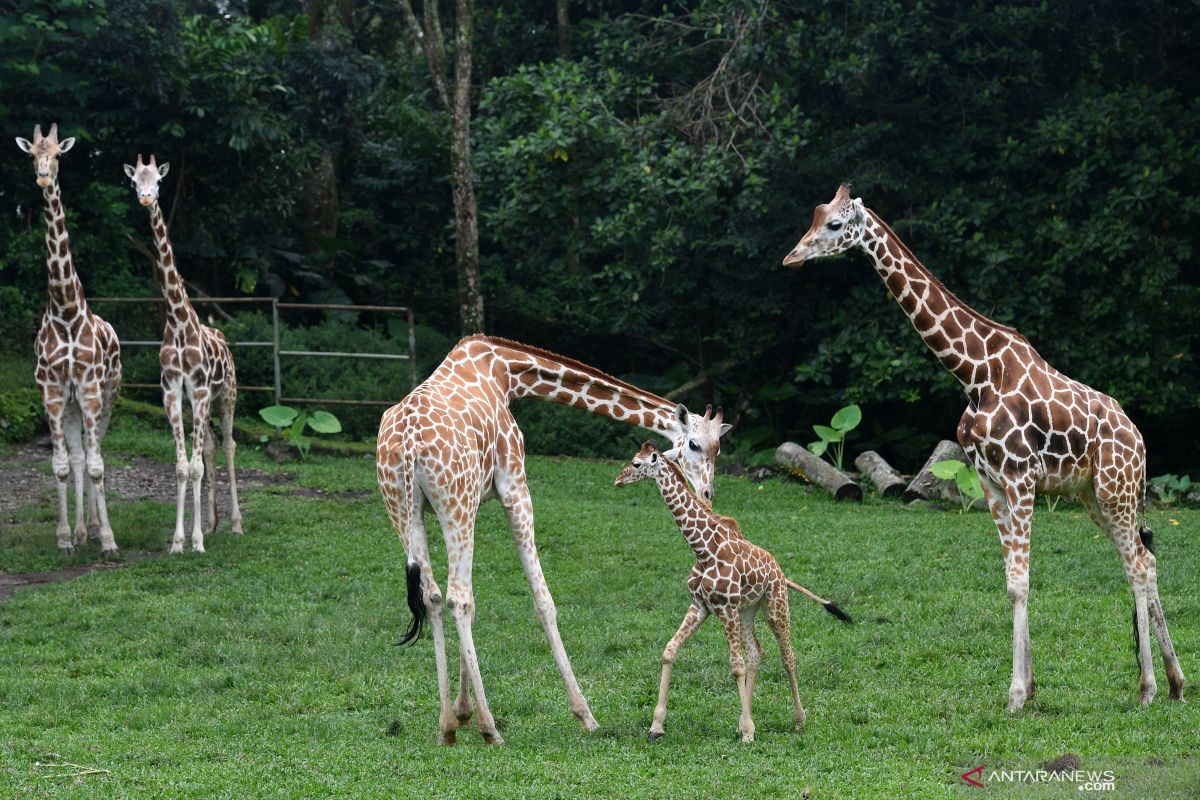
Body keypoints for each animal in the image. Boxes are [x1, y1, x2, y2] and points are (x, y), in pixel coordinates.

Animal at [124, 154, 241, 556]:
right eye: (135, 181)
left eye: (158, 181)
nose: (146, 198)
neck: (177, 322)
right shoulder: (173, 393)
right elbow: (182, 466)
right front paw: (180, 541)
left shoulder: (203, 391)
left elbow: (195, 466)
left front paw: (197, 543)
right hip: (197, 404)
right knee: (211, 447)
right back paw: (213, 523)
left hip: (226, 396)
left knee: (229, 445)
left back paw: (235, 525)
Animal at [376, 335, 729, 748]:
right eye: (694, 445)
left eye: (717, 448)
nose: (707, 494)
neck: (506, 372)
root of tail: (407, 446)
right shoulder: (514, 487)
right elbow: (542, 601)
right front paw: (585, 715)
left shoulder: (476, 499)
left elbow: (472, 600)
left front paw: (462, 712)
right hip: (452, 503)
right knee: (455, 599)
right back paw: (490, 728)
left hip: (405, 510)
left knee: (434, 596)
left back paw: (446, 726)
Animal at [614, 441, 849, 743]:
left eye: (636, 464)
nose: (618, 480)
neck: (702, 549)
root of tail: (781, 573)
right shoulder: (700, 605)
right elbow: (670, 650)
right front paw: (656, 726)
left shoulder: (724, 607)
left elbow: (735, 665)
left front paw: (748, 733)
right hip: (747, 610)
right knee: (756, 653)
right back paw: (744, 719)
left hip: (775, 606)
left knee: (788, 657)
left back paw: (798, 720)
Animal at [782, 184, 1185, 710]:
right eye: (813, 215)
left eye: (833, 225)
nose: (791, 257)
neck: (974, 374)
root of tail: (1138, 439)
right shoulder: (991, 483)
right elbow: (1011, 582)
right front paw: (1027, 689)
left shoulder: (1020, 477)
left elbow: (1022, 581)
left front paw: (1015, 695)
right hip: (1093, 496)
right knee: (1145, 560)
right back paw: (1176, 682)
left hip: (1116, 490)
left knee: (1137, 566)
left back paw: (1148, 687)